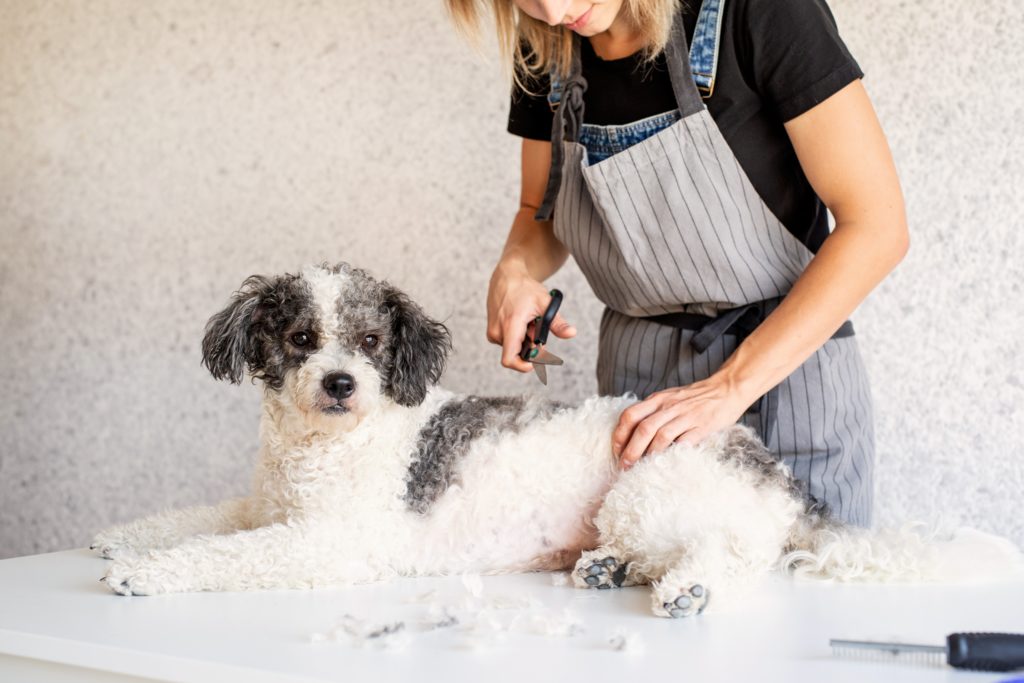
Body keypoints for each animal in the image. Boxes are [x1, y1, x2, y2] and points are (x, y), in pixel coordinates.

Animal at [92, 260, 1019, 614]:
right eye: (299, 336)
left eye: (371, 340)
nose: (341, 383)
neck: (326, 447)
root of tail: (781, 478)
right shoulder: (264, 508)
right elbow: (199, 520)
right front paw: (118, 538)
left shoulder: (324, 544)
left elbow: (220, 554)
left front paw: (145, 572)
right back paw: (608, 568)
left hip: (652, 491)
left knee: (733, 554)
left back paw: (686, 586)